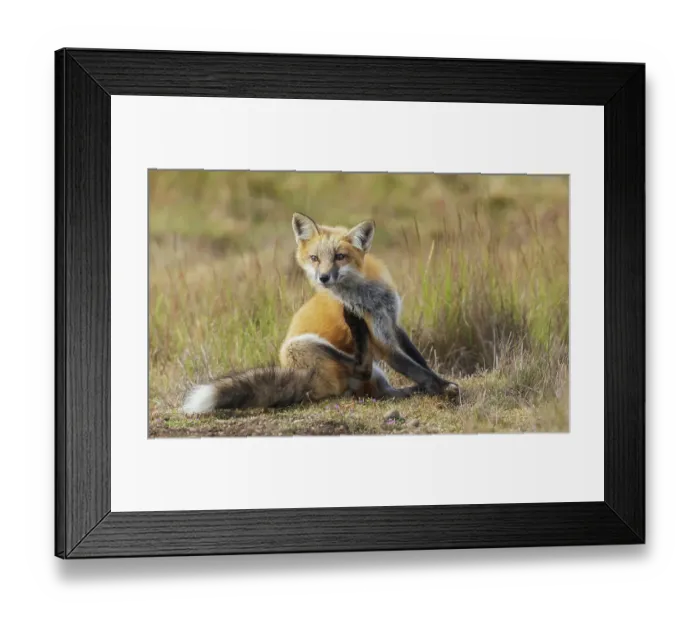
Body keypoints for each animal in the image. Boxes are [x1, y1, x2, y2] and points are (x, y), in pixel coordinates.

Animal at [182, 213, 454, 415]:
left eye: (340, 257)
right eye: (314, 258)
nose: (323, 278)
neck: (368, 296)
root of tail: (302, 378)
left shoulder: (393, 324)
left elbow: (419, 361)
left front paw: (439, 382)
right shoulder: (383, 342)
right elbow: (414, 368)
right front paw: (444, 387)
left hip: (373, 375)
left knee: (381, 390)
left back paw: (408, 389)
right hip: (305, 346)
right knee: (360, 367)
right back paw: (355, 327)